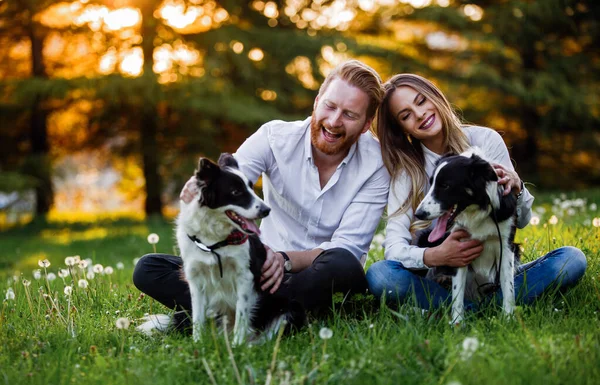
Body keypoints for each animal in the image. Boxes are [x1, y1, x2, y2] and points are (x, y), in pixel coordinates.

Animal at [138, 152, 302, 342]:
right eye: (236, 192)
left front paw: (238, 345)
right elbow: (197, 319)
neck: (213, 241)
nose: (266, 210)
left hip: (287, 308)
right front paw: (198, 344)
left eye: (251, 188)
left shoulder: (245, 277)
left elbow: (241, 315)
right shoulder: (195, 278)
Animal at [414, 148, 516, 322]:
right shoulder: (458, 250)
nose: (418, 214)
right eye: (431, 183)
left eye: (445, 185)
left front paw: (508, 319)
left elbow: (508, 287)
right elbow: (457, 294)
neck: (476, 210)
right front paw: (457, 323)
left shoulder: (506, 247)